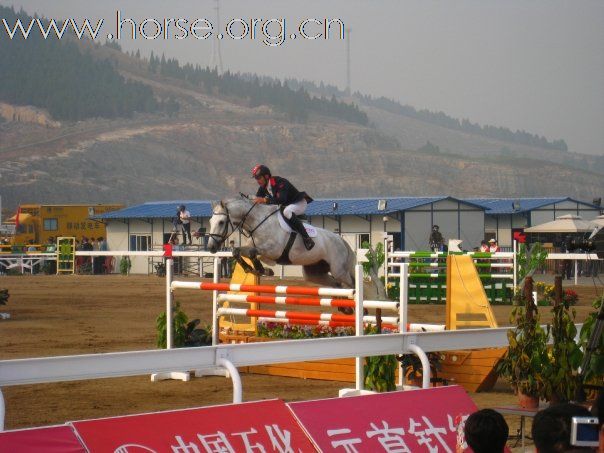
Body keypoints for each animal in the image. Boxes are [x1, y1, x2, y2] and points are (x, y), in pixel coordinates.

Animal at [208, 196, 358, 288]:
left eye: (221, 222)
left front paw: (261, 269)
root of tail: (341, 241)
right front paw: (255, 269)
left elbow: (252, 252)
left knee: (352, 285)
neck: (257, 222)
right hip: (314, 272)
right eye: (210, 221)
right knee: (336, 284)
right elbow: (237, 251)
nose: (211, 247)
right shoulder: (259, 251)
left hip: (338, 270)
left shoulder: (273, 251)